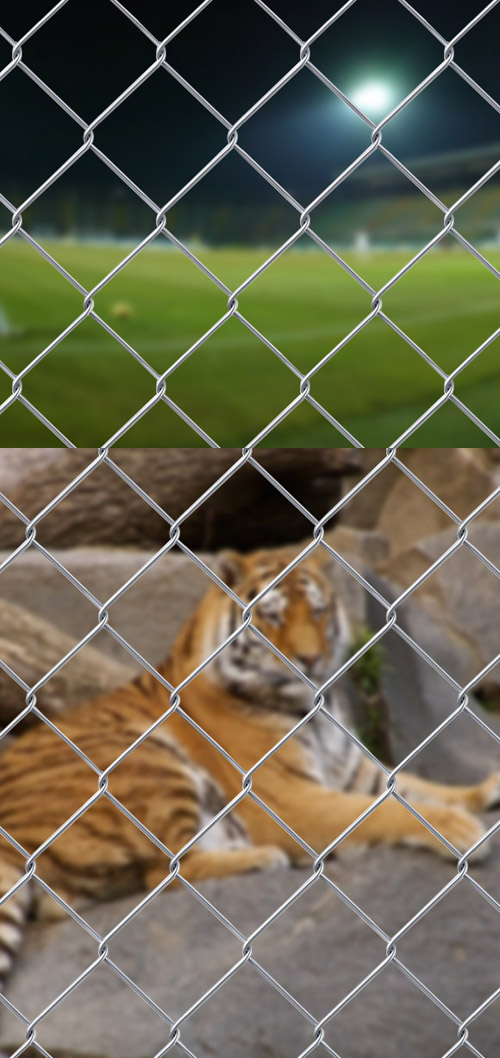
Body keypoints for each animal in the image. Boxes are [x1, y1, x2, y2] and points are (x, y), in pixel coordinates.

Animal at [0, 545, 498, 981]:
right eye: (272, 615)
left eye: (318, 612)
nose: (311, 659)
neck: (315, 706)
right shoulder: (289, 800)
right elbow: (383, 811)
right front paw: (460, 830)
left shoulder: (359, 775)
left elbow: (426, 790)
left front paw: (485, 792)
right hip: (148, 763)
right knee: (166, 872)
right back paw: (262, 856)